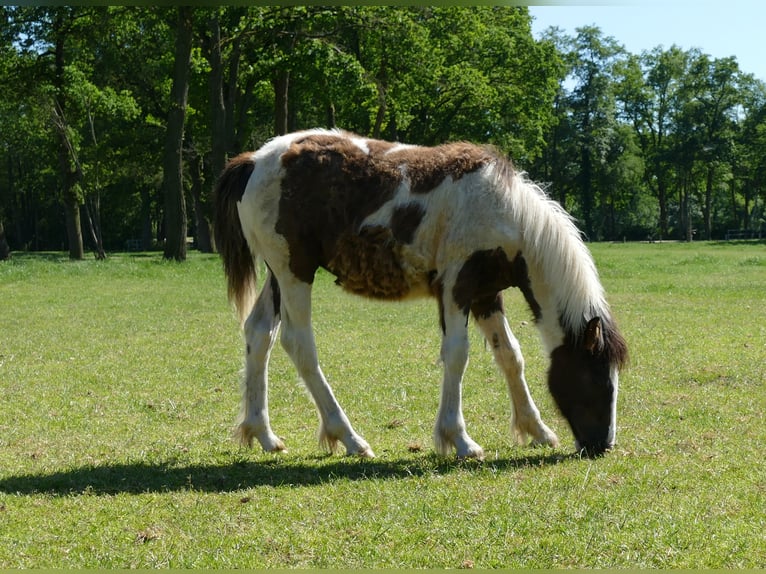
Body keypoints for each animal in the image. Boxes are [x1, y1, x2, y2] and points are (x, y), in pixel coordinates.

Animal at [213, 128, 628, 459]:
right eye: (595, 379)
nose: (602, 445)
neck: (505, 212)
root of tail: (253, 161)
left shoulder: (486, 295)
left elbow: (510, 355)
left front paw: (536, 430)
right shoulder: (457, 285)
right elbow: (457, 355)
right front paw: (459, 440)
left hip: (278, 276)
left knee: (259, 333)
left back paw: (264, 435)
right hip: (294, 271)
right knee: (298, 343)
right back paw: (349, 438)